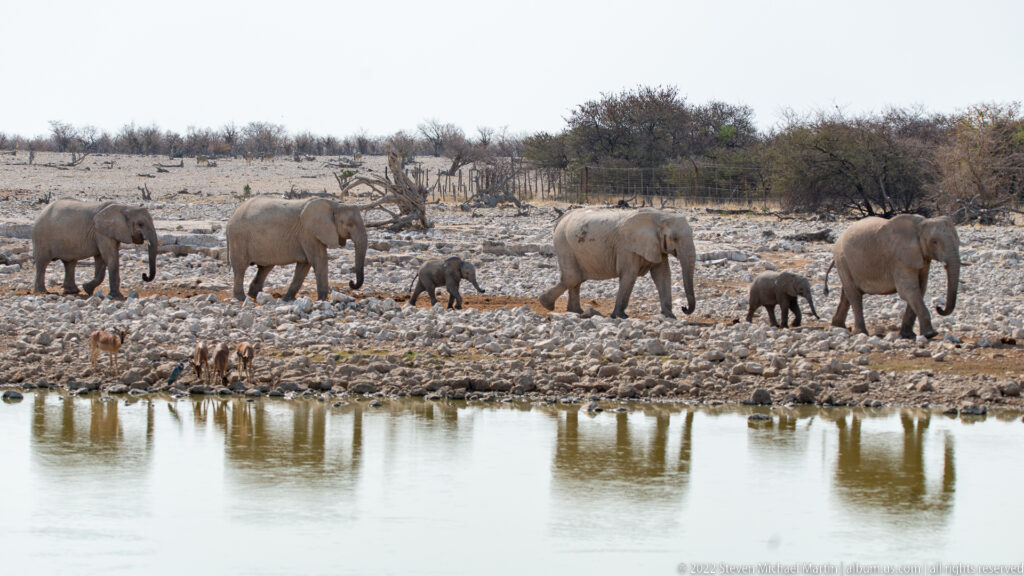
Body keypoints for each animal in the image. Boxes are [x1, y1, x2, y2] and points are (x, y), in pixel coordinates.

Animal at [226, 196, 367, 302]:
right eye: (349, 224)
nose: (351, 282)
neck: (334, 204)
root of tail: (232, 217)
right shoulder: (308, 233)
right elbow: (319, 260)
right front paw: (322, 300)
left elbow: (305, 264)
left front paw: (287, 299)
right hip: (239, 237)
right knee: (240, 267)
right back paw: (241, 298)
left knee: (265, 267)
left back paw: (255, 295)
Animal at [538, 207, 696, 319]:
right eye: (674, 238)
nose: (684, 308)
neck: (660, 215)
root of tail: (562, 218)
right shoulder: (626, 247)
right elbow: (629, 275)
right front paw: (620, 316)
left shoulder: (657, 246)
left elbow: (662, 275)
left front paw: (670, 316)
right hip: (563, 243)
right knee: (573, 277)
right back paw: (546, 304)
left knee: (577, 279)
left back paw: (575, 311)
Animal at [825, 214, 960, 339]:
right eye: (934, 242)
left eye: (957, 240)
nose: (939, 307)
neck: (920, 224)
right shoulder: (899, 258)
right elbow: (908, 290)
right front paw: (930, 334)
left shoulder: (921, 257)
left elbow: (920, 289)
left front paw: (908, 335)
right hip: (842, 260)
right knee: (854, 295)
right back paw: (860, 333)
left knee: (847, 293)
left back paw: (839, 326)